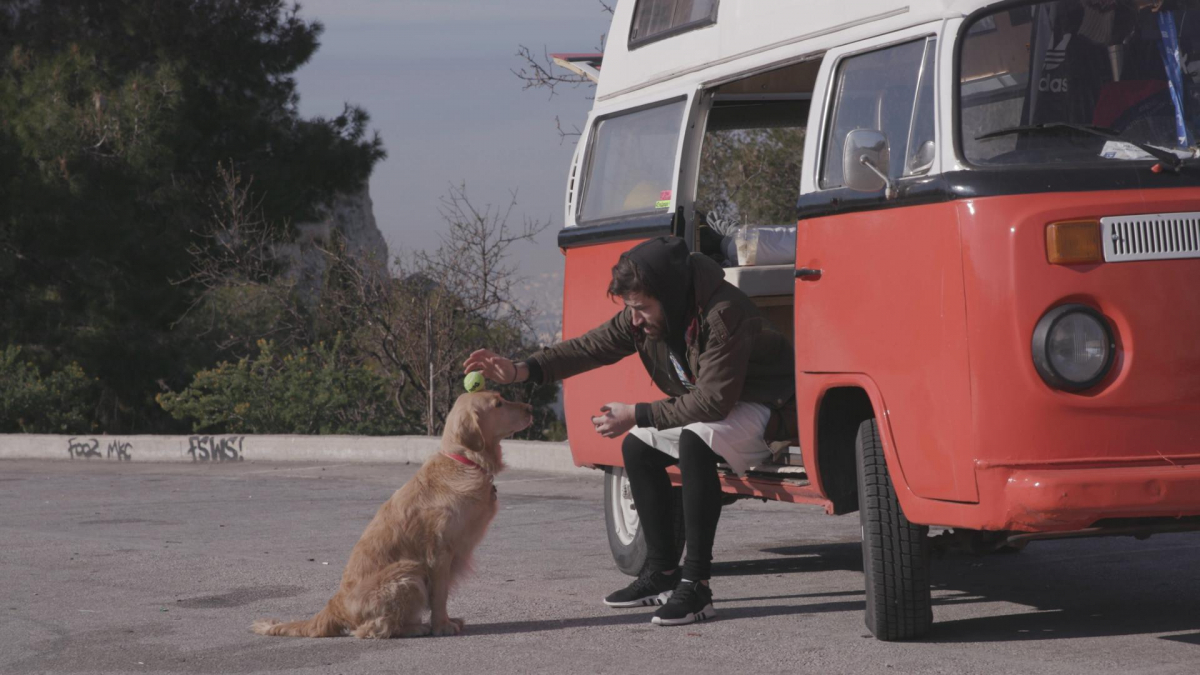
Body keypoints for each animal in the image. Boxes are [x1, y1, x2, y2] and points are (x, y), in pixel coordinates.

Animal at [252, 389, 530, 634]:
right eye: (498, 404)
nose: (529, 407)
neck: (465, 461)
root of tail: (335, 605)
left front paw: (447, 621)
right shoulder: (439, 552)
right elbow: (440, 596)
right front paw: (442, 626)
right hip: (408, 571)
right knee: (370, 629)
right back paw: (415, 628)